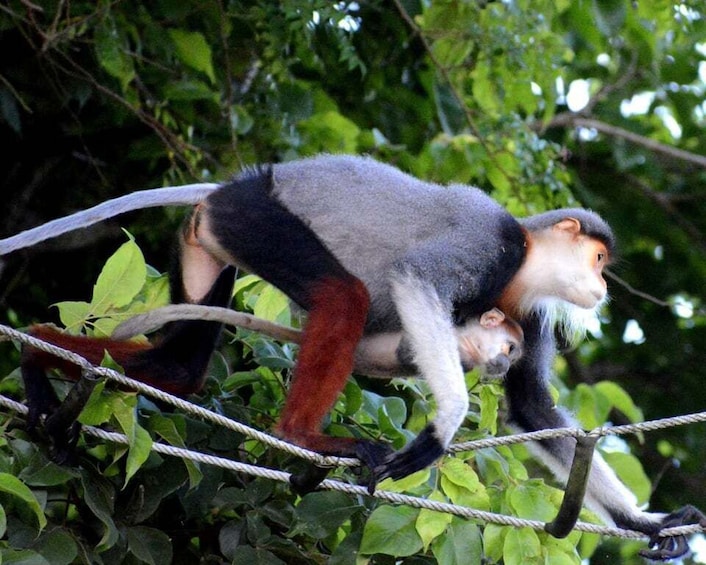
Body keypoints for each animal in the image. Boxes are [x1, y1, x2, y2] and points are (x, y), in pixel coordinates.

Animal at [12, 154, 704, 559]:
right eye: (598, 260)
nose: (602, 287)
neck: (523, 264)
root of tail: (228, 188)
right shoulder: (491, 244)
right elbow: (415, 277)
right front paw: (444, 424)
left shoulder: (523, 307)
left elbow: (533, 407)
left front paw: (648, 522)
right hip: (251, 218)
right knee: (343, 294)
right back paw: (303, 436)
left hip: (210, 243)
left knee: (183, 361)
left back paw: (43, 365)